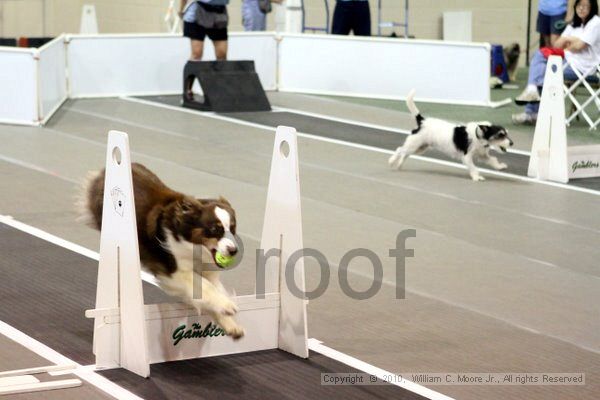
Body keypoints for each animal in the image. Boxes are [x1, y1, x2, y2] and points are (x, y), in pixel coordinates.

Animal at [81, 164, 245, 340]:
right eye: (214, 230)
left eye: (233, 229)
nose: (234, 251)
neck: (193, 245)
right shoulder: (174, 270)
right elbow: (204, 285)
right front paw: (226, 304)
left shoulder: (208, 272)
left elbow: (211, 289)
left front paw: (229, 323)